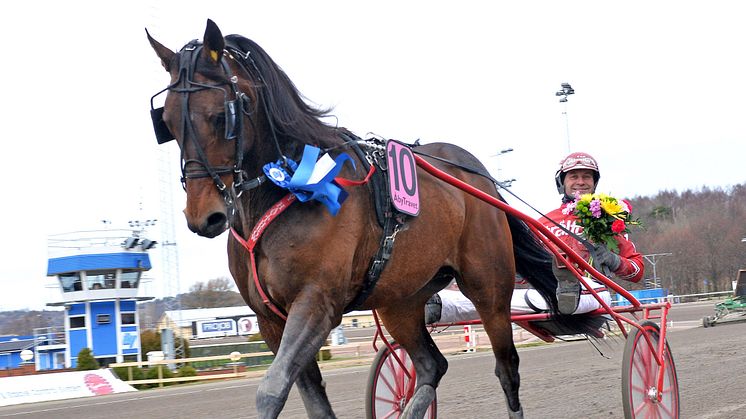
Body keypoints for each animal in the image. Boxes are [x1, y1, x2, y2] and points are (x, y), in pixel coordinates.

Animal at [145, 18, 576, 418]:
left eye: (223, 115)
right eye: (167, 121)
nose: (204, 217)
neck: (289, 189)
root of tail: (479, 177)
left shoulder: (317, 302)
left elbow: (271, 390)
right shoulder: (269, 319)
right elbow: (310, 399)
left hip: (488, 285)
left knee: (507, 367)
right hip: (401, 299)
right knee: (431, 365)